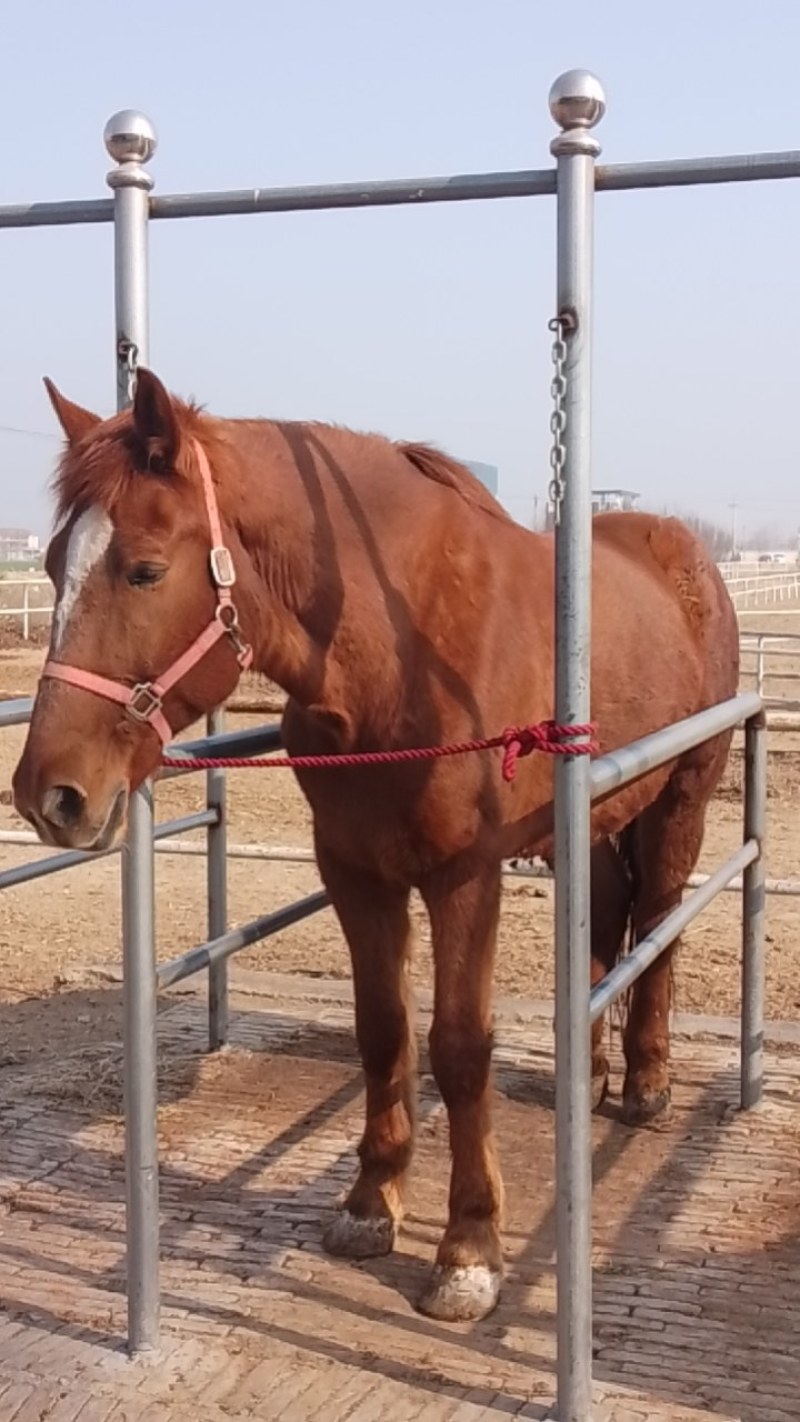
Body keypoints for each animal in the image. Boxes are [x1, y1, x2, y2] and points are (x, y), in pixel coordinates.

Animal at [12, 369, 739, 1322]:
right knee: (611, 913)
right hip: (598, 810)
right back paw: (584, 1071)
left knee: (658, 919)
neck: (403, 650)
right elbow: (383, 1032)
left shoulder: (466, 876)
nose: (48, 796)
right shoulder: (355, 871)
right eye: (53, 565)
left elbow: (459, 1049)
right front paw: (369, 1204)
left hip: (682, 795)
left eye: (145, 570)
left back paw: (647, 1082)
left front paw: (468, 1249)